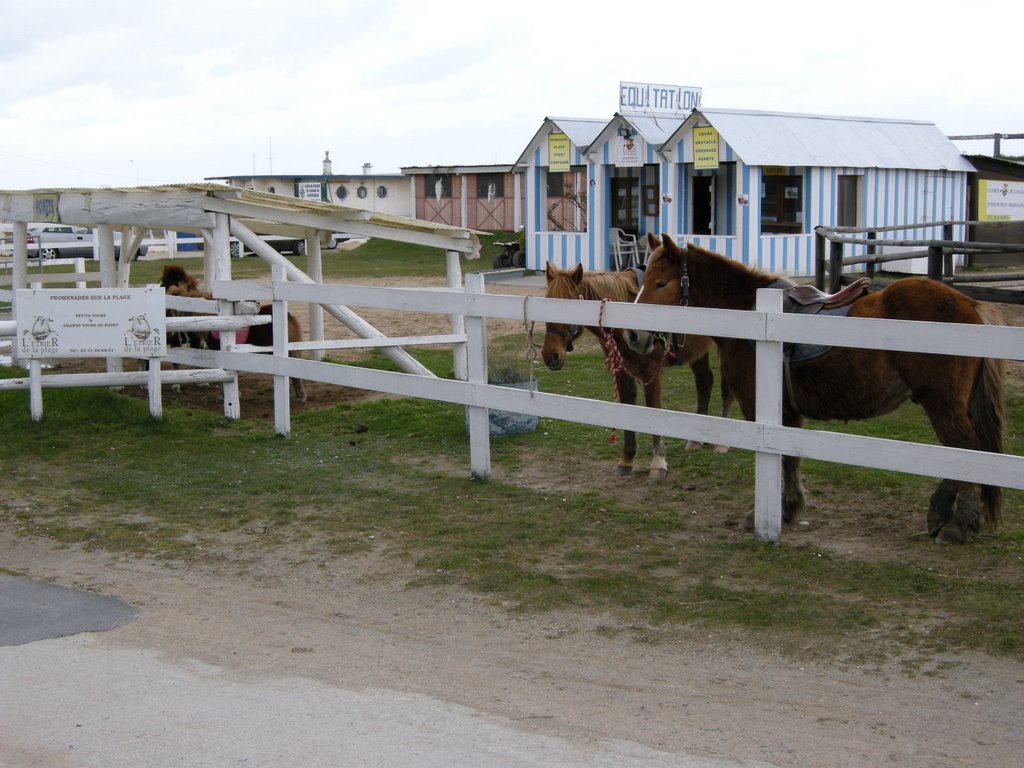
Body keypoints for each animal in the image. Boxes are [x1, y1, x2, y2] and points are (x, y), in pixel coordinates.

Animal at [544, 262, 729, 479]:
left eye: (569, 307)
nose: (550, 355)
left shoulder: (651, 372)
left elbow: (652, 409)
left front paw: (658, 462)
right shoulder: (622, 372)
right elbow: (627, 408)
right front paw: (627, 459)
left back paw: (723, 444)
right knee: (704, 380)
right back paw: (696, 440)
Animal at [622, 233, 1007, 540]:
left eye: (661, 283)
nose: (633, 335)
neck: (750, 312)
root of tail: (970, 305)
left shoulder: (762, 406)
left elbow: (781, 461)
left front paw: (767, 513)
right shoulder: (788, 413)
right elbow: (790, 460)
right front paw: (789, 509)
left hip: (942, 403)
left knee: (967, 453)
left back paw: (957, 525)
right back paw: (940, 514)